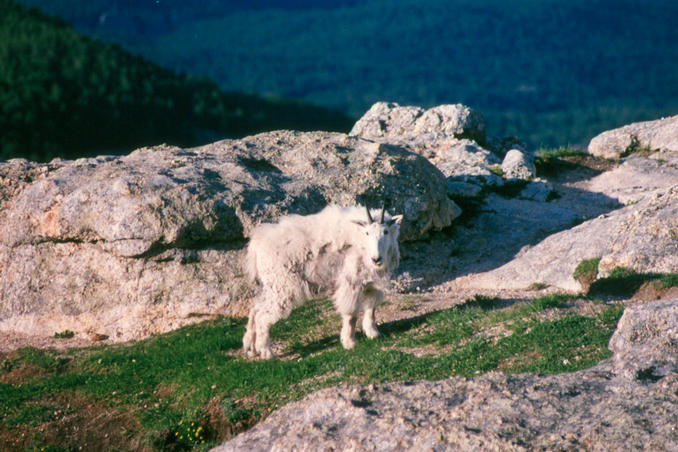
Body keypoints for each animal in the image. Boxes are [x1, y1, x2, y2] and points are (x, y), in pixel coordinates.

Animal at [244, 203, 404, 358]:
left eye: (386, 232)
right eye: (367, 233)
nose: (376, 259)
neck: (359, 241)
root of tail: (257, 246)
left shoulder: (371, 283)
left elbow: (371, 309)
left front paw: (373, 334)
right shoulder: (351, 282)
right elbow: (351, 315)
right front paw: (350, 342)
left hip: (272, 286)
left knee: (255, 310)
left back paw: (250, 348)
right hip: (282, 286)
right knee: (263, 316)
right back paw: (266, 352)